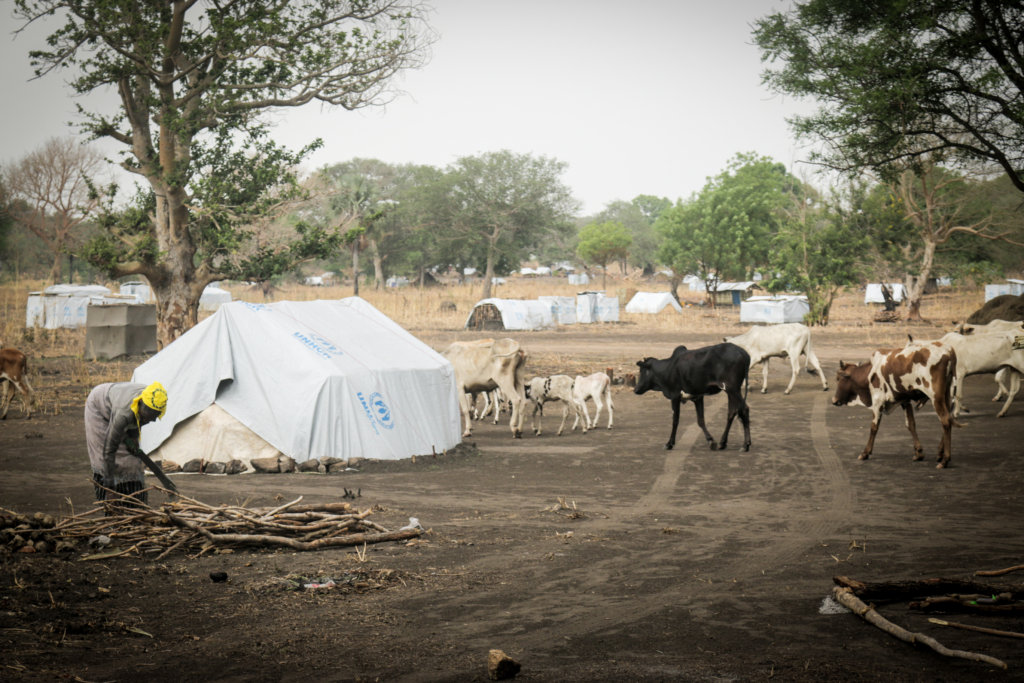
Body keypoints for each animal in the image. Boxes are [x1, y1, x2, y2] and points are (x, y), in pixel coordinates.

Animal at [831, 342, 958, 471]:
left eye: (839, 378)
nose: (834, 400)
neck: (869, 372)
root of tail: (948, 350)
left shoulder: (877, 401)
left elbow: (874, 427)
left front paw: (865, 452)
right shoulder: (905, 401)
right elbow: (910, 424)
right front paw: (918, 453)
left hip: (935, 397)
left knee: (945, 420)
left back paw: (945, 460)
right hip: (946, 395)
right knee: (948, 419)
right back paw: (940, 454)